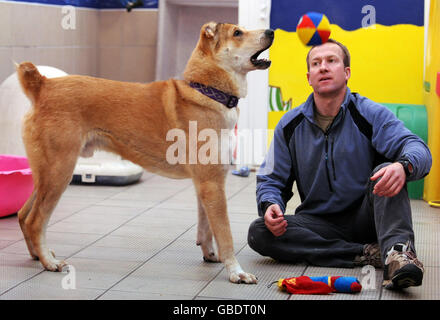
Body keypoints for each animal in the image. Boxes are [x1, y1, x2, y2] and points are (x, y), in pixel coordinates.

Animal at [16, 21, 272, 282]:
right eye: (238, 33)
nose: (271, 32)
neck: (207, 91)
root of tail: (43, 84)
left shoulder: (206, 182)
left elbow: (206, 227)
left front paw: (210, 254)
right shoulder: (212, 184)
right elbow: (225, 233)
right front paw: (236, 272)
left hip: (47, 175)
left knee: (23, 215)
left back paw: (38, 255)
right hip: (60, 172)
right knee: (36, 220)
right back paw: (49, 262)